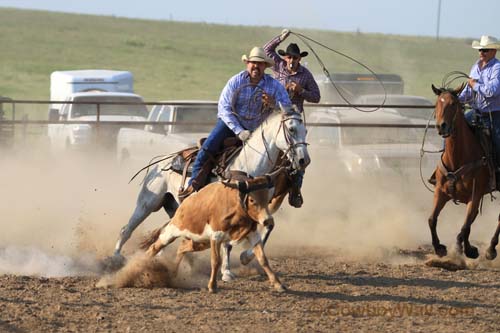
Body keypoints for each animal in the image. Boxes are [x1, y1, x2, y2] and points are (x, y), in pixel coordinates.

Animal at [113, 104, 310, 278]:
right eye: (291, 129)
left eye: (305, 131)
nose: (303, 160)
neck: (248, 167)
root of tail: (162, 160)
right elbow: (228, 241)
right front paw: (227, 271)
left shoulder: (259, 208)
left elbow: (268, 227)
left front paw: (244, 258)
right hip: (148, 202)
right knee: (126, 229)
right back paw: (115, 258)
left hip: (175, 207)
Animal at [141, 172, 286, 292]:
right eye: (252, 200)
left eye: (267, 198)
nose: (268, 220)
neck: (235, 206)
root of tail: (181, 208)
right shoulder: (216, 237)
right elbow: (216, 261)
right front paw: (212, 286)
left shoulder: (252, 234)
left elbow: (263, 259)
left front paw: (278, 284)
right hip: (173, 231)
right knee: (155, 247)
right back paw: (141, 267)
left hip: (201, 241)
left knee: (182, 247)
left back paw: (173, 272)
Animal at [430, 83, 500, 260]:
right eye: (436, 104)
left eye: (453, 104)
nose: (441, 126)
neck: (458, 157)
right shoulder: (440, 191)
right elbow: (432, 219)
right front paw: (439, 248)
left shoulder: (474, 195)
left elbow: (465, 226)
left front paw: (464, 250)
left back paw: (491, 249)